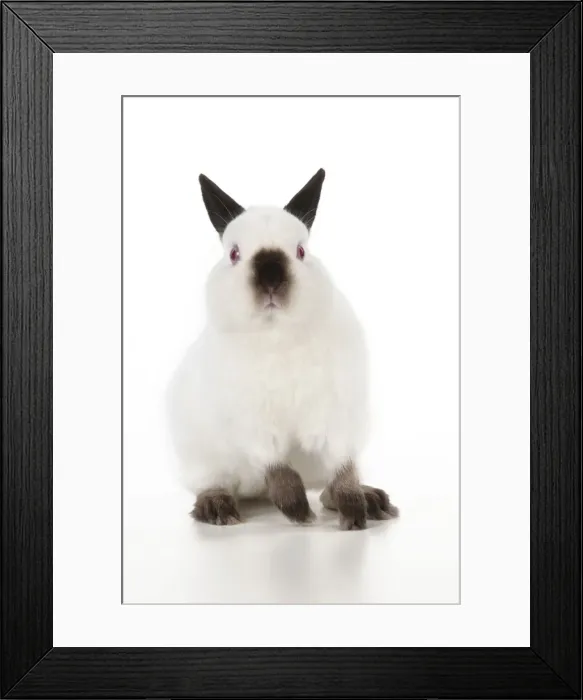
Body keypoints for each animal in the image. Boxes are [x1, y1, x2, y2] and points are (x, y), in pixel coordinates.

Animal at [166, 169, 398, 530]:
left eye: (301, 251)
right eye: (234, 254)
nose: (271, 277)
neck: (278, 336)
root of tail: (253, 492)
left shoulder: (338, 419)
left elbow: (343, 470)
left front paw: (354, 515)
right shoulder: (256, 428)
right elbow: (280, 469)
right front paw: (299, 513)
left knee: (329, 486)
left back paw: (372, 500)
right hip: (202, 459)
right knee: (215, 484)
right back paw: (217, 508)